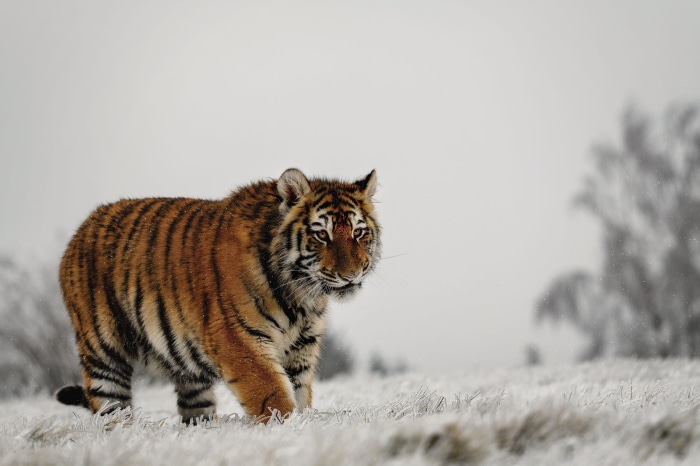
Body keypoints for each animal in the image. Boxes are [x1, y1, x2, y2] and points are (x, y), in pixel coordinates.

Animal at [55, 168, 380, 424]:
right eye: (321, 235)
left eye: (358, 232)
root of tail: (82, 228)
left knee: (195, 410)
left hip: (187, 372)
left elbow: (299, 395)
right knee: (110, 410)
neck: (301, 296)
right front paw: (288, 430)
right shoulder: (238, 340)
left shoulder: (301, 347)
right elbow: (273, 396)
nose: (352, 274)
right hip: (103, 353)